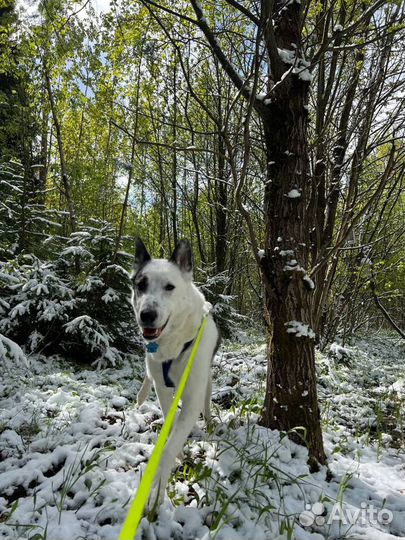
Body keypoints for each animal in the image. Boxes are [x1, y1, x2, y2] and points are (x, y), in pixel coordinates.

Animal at [131, 238, 219, 508]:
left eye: (170, 287)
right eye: (141, 285)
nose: (147, 316)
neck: (175, 343)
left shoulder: (191, 397)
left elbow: (172, 440)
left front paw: (157, 484)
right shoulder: (161, 385)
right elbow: (169, 420)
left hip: (206, 379)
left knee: (207, 399)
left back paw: (209, 420)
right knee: (147, 376)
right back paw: (140, 396)